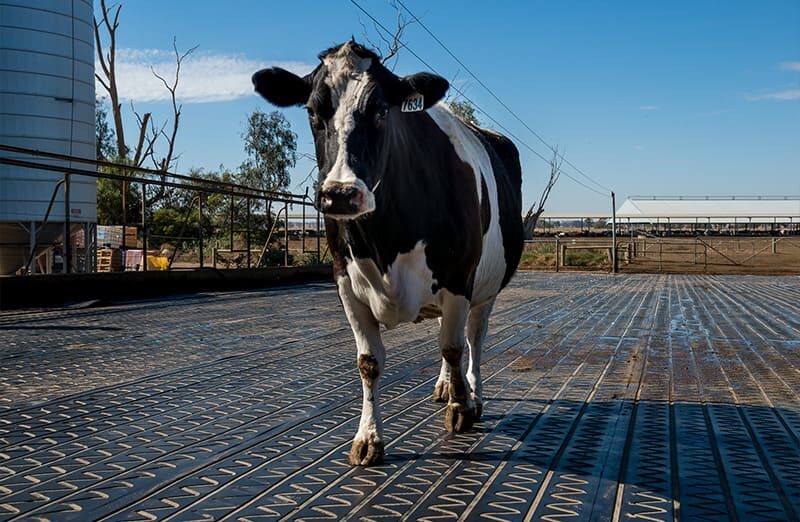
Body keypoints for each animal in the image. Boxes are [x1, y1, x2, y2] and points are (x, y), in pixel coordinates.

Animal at [253, 41, 523, 465]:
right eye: (312, 111)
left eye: (382, 111)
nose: (341, 193)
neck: (386, 245)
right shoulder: (345, 283)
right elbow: (369, 363)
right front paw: (368, 437)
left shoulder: (459, 278)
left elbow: (452, 346)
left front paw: (461, 408)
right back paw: (446, 386)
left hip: (487, 287)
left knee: (473, 340)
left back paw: (472, 393)